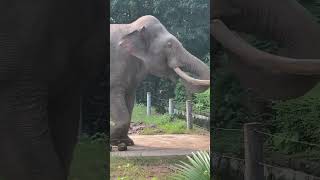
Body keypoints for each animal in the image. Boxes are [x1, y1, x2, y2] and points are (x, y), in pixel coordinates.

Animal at [110, 15, 210, 146]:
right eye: (169, 45)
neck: (131, 27)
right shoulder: (116, 66)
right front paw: (113, 141)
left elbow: (130, 103)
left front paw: (125, 143)